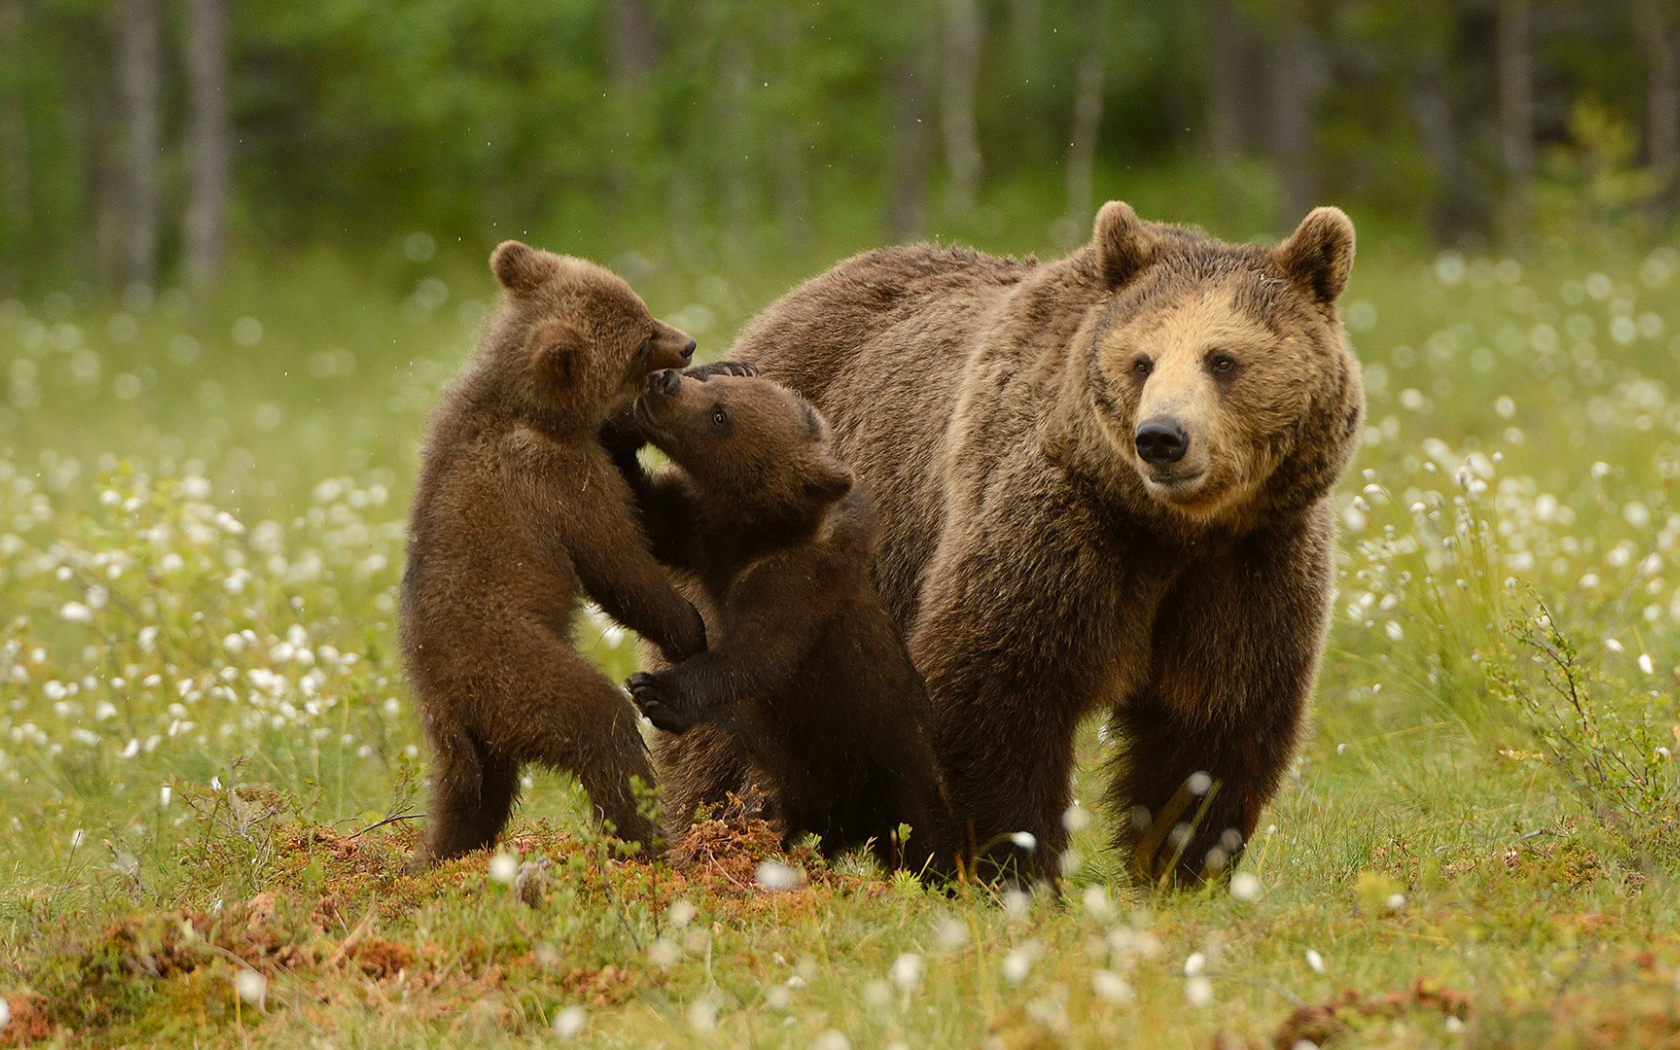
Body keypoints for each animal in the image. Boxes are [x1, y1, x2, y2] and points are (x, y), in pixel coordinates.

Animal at [408, 241, 715, 866]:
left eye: (641, 306)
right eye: (640, 339)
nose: (688, 343)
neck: (532, 409)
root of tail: (449, 702)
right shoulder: (557, 482)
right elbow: (617, 562)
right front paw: (686, 627)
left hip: (468, 738)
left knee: (469, 797)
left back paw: (435, 857)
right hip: (514, 669)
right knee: (601, 727)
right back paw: (647, 840)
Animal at [614, 371, 960, 873]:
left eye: (720, 415)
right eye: (713, 381)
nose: (665, 381)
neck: (755, 533)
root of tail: (849, 828)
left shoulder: (796, 586)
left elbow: (758, 652)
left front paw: (656, 690)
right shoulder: (702, 535)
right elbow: (648, 515)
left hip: (890, 764)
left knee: (927, 838)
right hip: (798, 783)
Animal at [729, 200, 1357, 880]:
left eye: (1222, 360)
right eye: (1142, 362)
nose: (1161, 438)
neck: (1171, 532)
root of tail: (785, 303)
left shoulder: (1251, 563)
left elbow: (1213, 722)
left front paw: (1180, 866)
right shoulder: (1053, 529)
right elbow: (993, 689)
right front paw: (1004, 865)